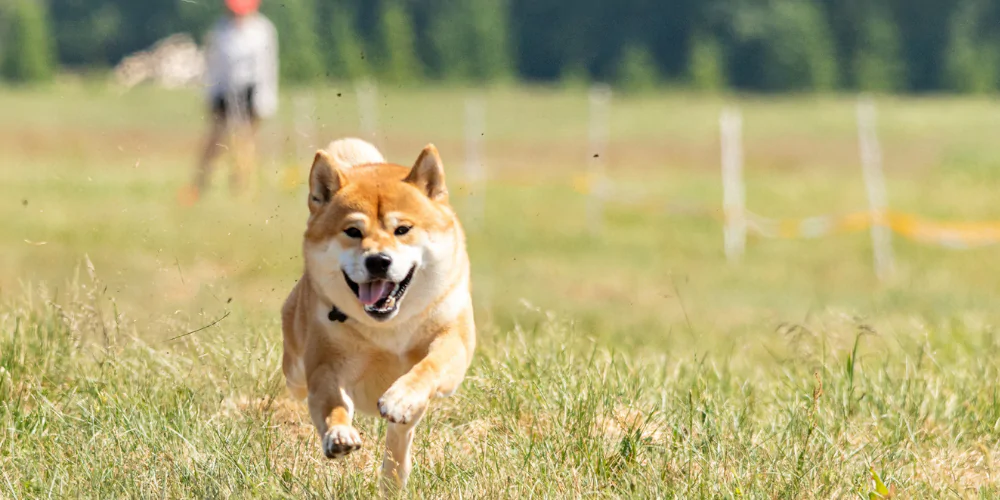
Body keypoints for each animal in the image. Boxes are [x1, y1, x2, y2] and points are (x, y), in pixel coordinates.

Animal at [278, 137, 472, 492]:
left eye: (403, 229)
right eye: (353, 231)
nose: (378, 261)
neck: (387, 329)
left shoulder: (454, 340)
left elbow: (429, 366)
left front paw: (400, 397)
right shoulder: (325, 364)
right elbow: (332, 403)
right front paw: (339, 434)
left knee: (399, 438)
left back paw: (393, 477)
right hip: (295, 370)